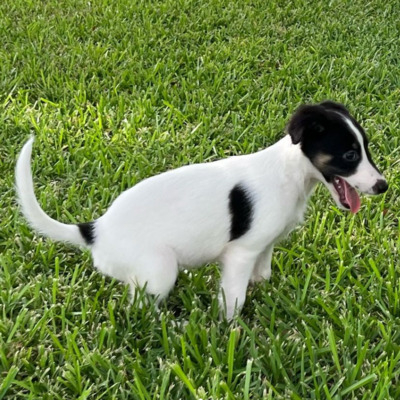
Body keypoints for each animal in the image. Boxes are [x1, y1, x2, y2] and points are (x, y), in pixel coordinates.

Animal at [16, 101, 388, 318]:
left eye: (366, 149)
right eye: (350, 155)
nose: (383, 186)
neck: (290, 174)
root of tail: (95, 230)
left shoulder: (264, 246)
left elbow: (263, 276)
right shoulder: (240, 253)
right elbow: (234, 298)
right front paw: (231, 331)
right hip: (159, 271)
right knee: (138, 306)